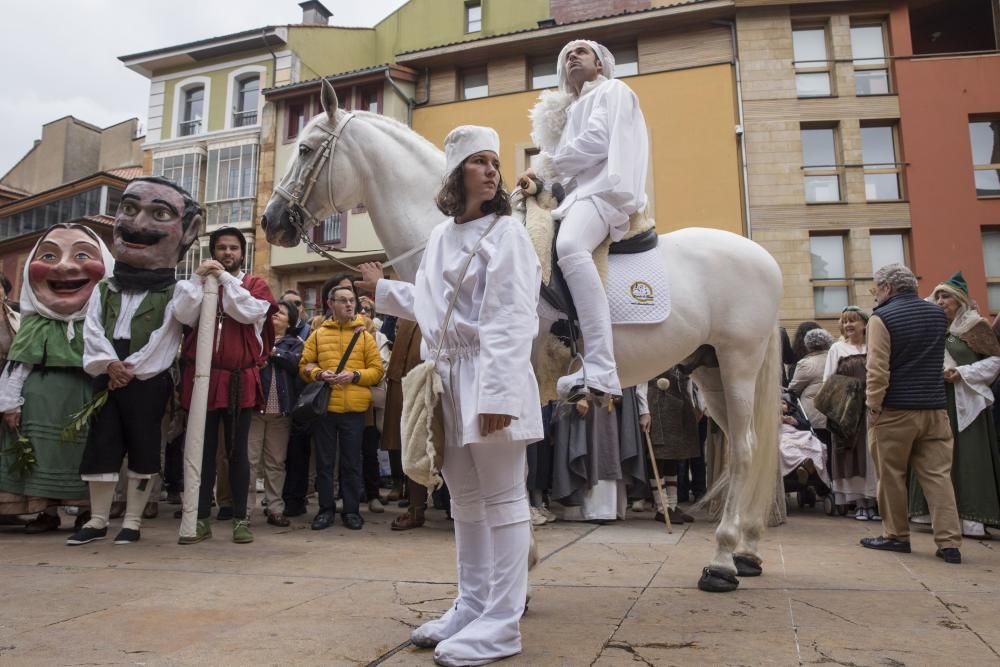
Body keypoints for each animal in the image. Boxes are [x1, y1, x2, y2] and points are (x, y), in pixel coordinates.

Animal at [262, 79, 784, 596]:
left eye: (305, 149)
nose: (271, 220)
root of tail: (764, 257)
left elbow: (517, 468)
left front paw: (520, 566)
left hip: (739, 363)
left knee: (744, 450)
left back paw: (722, 559)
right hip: (711, 370)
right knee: (753, 447)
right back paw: (746, 550)